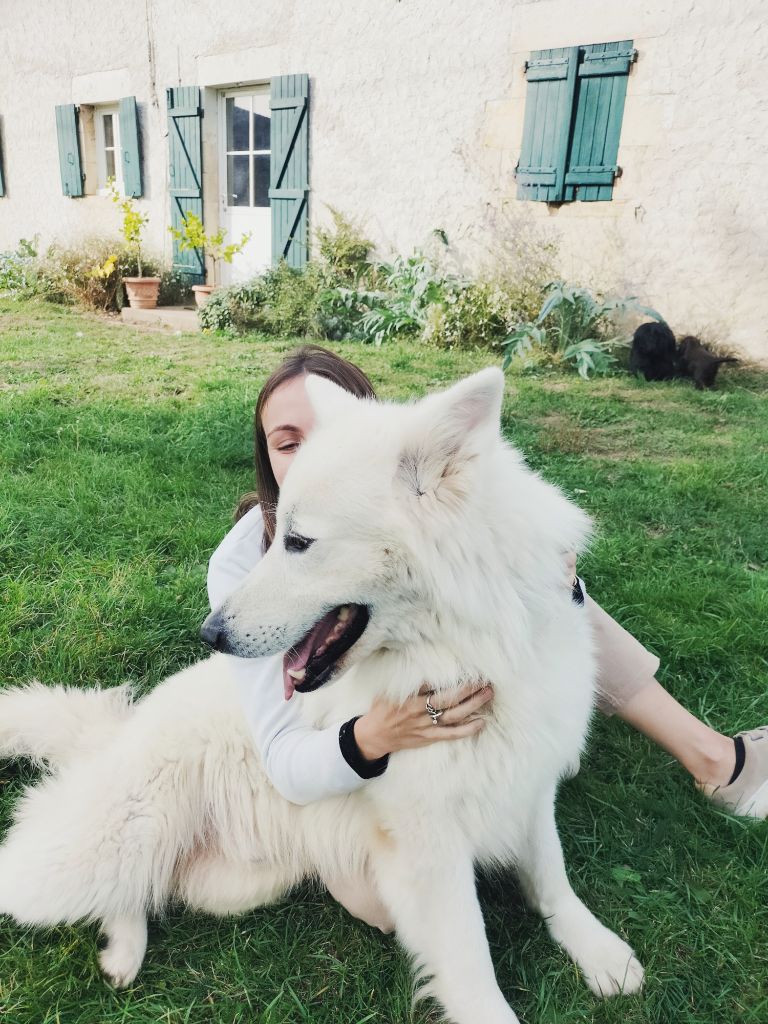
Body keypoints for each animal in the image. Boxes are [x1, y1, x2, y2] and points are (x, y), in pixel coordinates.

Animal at [0, 369, 643, 1024]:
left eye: (300, 541)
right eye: (278, 536)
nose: (211, 633)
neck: (467, 655)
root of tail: (113, 731)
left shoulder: (527, 784)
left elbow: (551, 877)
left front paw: (596, 950)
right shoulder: (430, 847)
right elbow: (472, 962)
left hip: (234, 885)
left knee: (143, 892)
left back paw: (123, 950)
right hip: (102, 850)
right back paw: (122, 950)